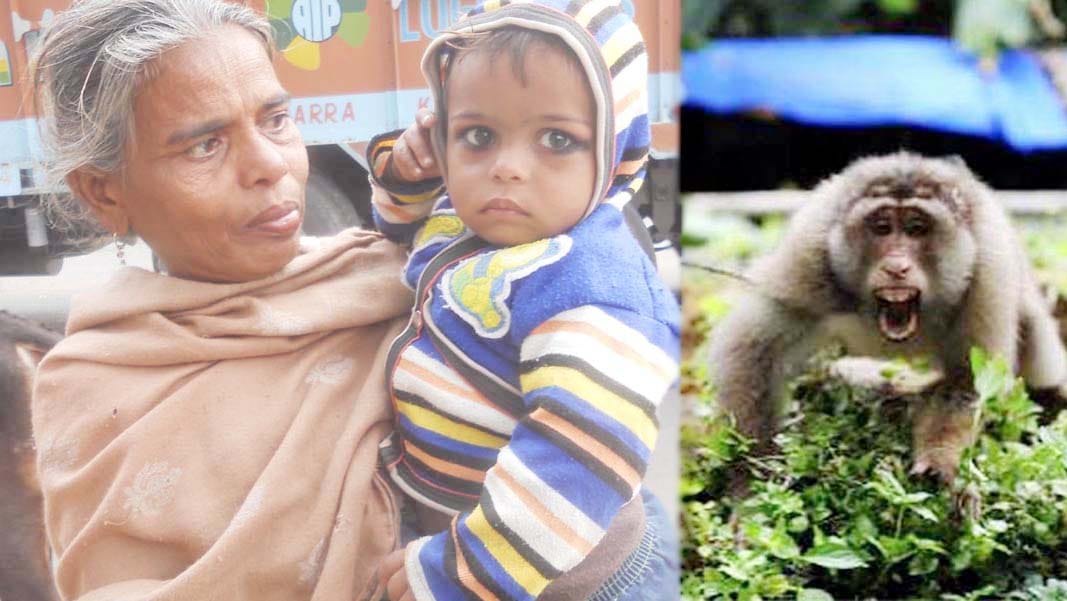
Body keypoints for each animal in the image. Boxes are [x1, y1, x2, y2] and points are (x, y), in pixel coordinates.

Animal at [707, 152, 1067, 487]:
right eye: (882, 228)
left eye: (917, 228)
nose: (896, 267)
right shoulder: (809, 256)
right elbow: (754, 351)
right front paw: (750, 478)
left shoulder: (988, 273)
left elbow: (965, 380)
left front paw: (938, 464)